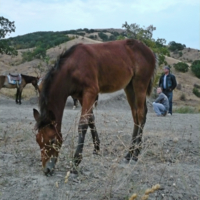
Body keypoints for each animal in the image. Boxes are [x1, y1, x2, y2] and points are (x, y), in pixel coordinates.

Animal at [33, 38, 157, 175]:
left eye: (52, 140)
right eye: (37, 140)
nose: (47, 169)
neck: (72, 67)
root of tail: (149, 51)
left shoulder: (90, 92)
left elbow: (83, 124)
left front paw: (76, 162)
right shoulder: (81, 97)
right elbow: (91, 119)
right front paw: (96, 148)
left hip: (140, 85)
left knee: (140, 114)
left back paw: (135, 154)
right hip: (129, 87)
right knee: (136, 116)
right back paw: (129, 154)